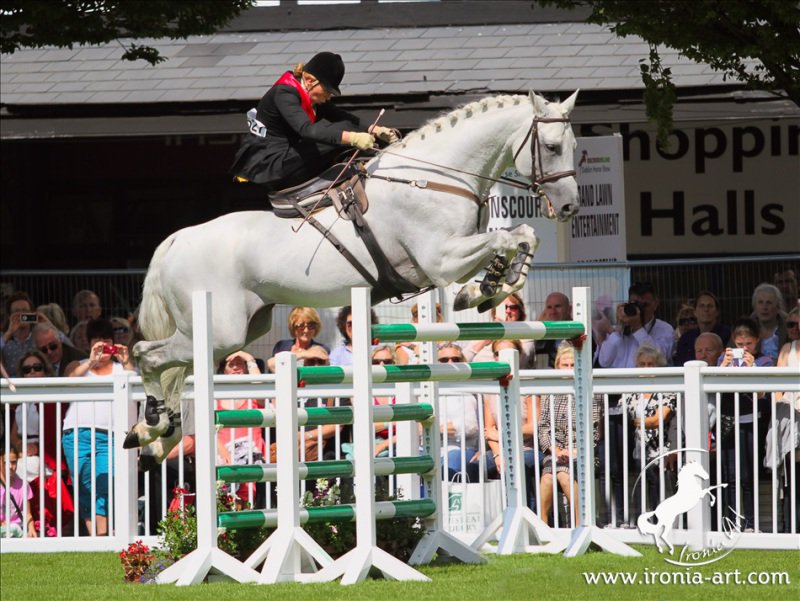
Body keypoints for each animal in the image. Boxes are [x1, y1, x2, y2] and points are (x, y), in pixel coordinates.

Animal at [128, 89, 580, 466]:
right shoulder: (441, 260)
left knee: (172, 366)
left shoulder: (454, 256)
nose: (570, 207)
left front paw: (489, 286)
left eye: (575, 147)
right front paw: (482, 290)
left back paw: (158, 435)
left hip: (237, 329)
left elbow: (523, 235)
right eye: (552, 147)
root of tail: (176, 240)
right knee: (145, 354)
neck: (437, 180)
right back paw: (152, 424)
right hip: (220, 331)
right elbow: (508, 236)